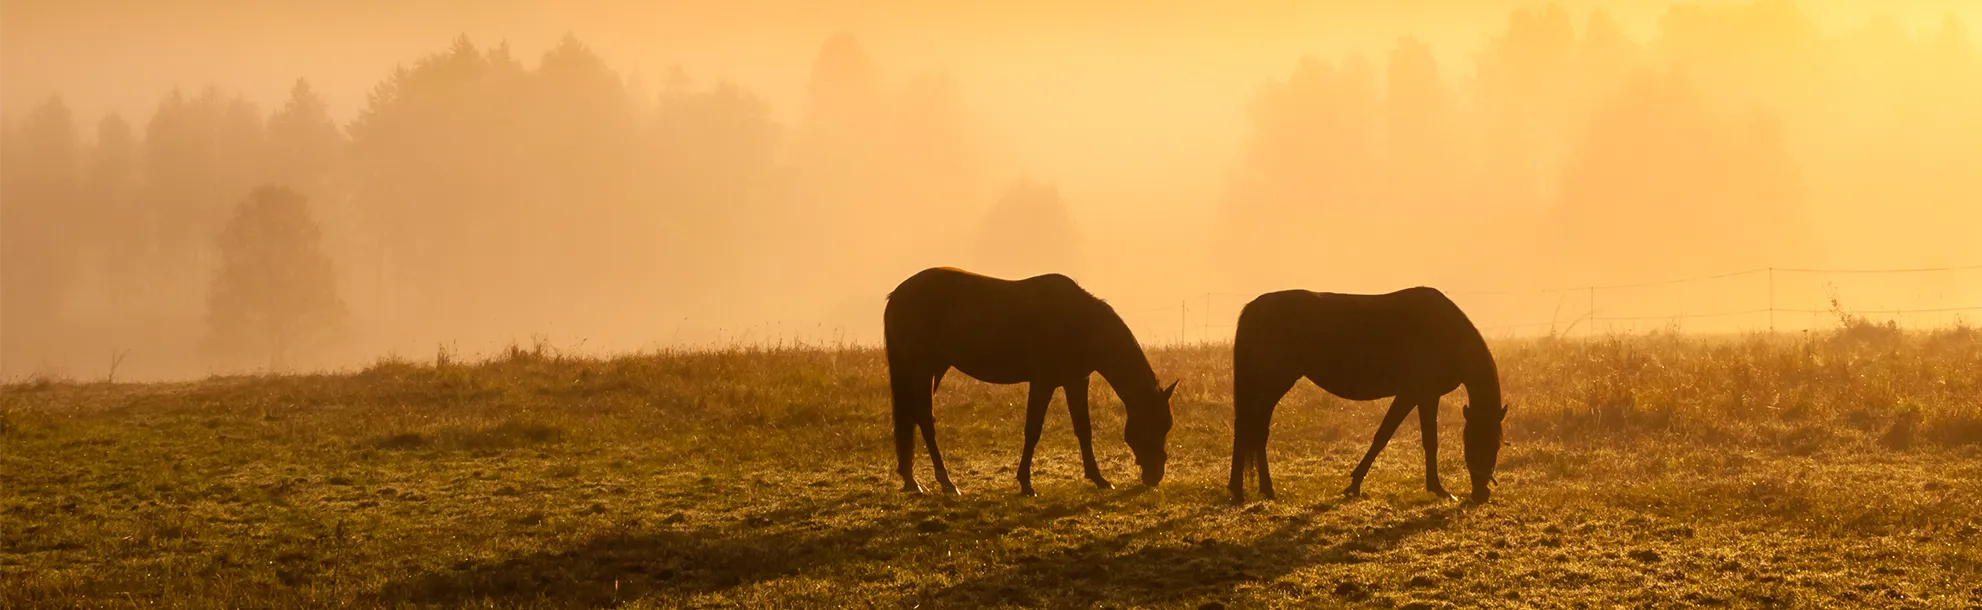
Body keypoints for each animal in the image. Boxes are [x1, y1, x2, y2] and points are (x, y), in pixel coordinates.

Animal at [884, 266, 1178, 496]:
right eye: (1154, 424)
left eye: (1166, 426)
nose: (1155, 476)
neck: (1080, 322)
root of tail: (897, 295)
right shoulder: (1043, 382)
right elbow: (1033, 430)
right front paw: (1026, 484)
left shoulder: (1075, 381)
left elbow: (1084, 429)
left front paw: (1099, 479)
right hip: (923, 369)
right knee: (924, 418)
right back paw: (946, 481)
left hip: (934, 369)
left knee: (913, 417)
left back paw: (912, 480)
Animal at [1227, 286, 1508, 504]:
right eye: (1473, 443)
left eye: (1496, 445)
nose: (1481, 494)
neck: (1446, 333)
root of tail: (1253, 308)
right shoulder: (1422, 394)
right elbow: (1417, 440)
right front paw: (1439, 490)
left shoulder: (1413, 395)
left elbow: (1387, 436)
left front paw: (1354, 485)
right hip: (1272, 383)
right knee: (1249, 428)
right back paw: (1241, 491)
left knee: (1256, 431)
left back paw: (1263, 490)